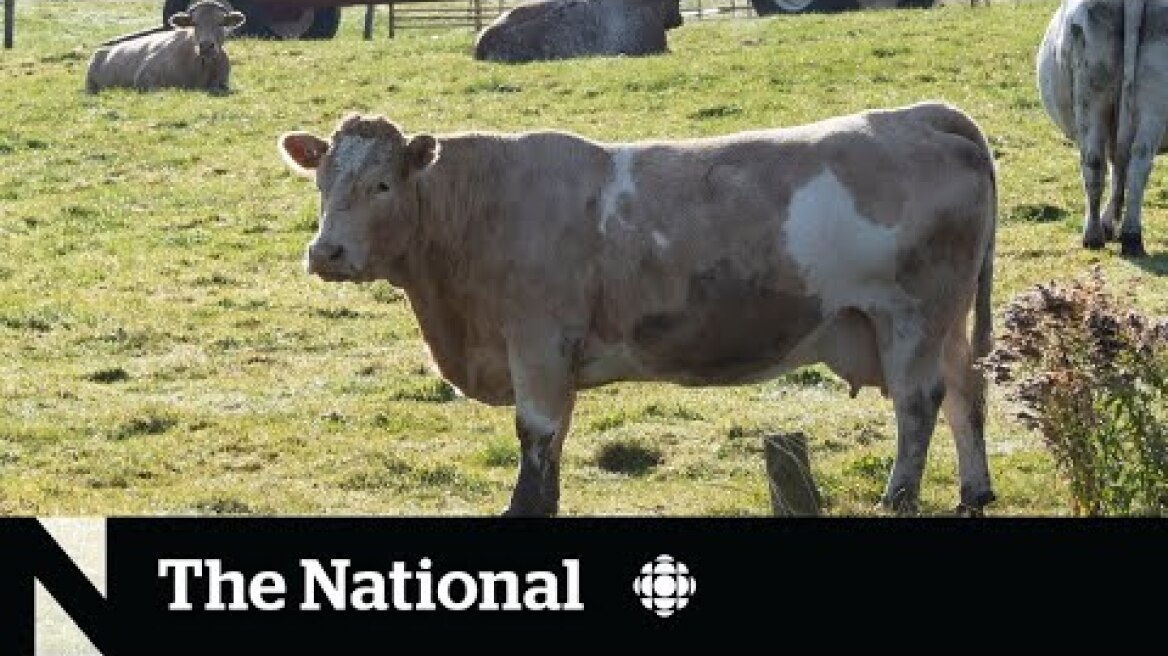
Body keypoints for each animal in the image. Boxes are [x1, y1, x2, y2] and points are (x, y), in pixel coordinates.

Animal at [277, 102, 998, 516]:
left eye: (382, 184)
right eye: (322, 181)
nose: (327, 251)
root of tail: (924, 116)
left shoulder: (537, 342)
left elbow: (536, 434)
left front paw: (523, 509)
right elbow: (555, 439)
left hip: (910, 316)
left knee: (919, 403)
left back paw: (898, 498)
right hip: (944, 323)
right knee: (966, 390)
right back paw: (974, 490)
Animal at [1038, 0, 1168, 258]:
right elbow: (1119, 171)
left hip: (1090, 99)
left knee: (1095, 163)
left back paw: (1094, 235)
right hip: (1153, 102)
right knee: (1137, 163)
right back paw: (1131, 237)